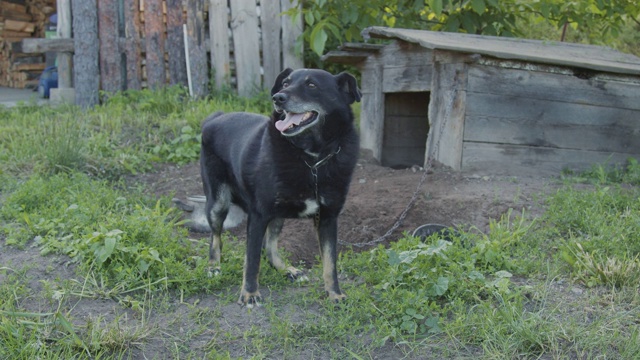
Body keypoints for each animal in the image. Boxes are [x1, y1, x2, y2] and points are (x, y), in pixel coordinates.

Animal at [201, 68, 360, 306]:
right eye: (285, 83)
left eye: (311, 85)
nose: (278, 98)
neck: (312, 159)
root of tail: (216, 117)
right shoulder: (258, 214)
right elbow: (252, 259)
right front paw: (249, 293)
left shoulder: (328, 217)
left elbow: (330, 262)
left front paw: (335, 294)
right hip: (218, 202)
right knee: (216, 236)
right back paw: (213, 266)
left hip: (277, 214)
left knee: (270, 246)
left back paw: (286, 269)